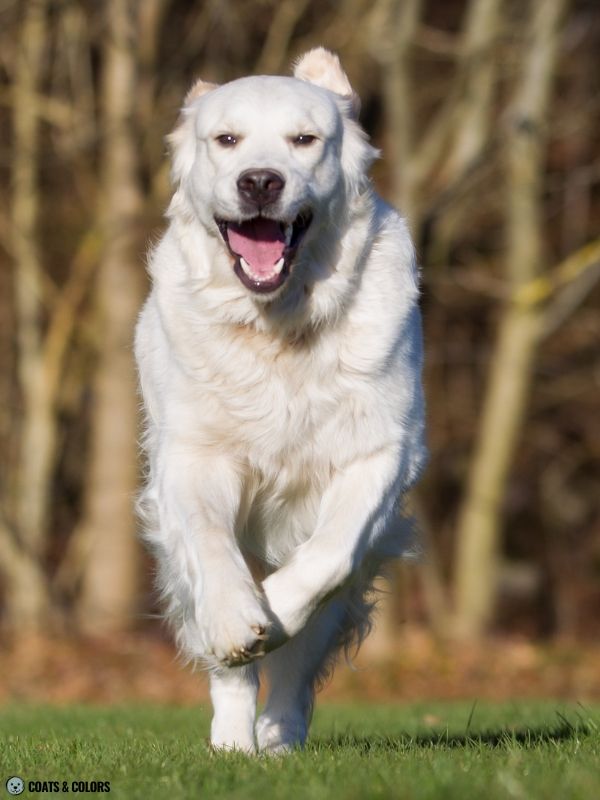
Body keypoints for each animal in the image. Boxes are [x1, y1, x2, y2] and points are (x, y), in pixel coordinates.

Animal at [136, 48, 426, 752]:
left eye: (304, 140)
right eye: (226, 140)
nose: (260, 182)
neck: (278, 328)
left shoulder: (382, 451)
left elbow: (327, 557)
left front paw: (279, 606)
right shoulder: (194, 458)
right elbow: (212, 545)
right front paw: (240, 619)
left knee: (300, 660)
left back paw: (279, 737)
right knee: (229, 665)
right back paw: (234, 741)